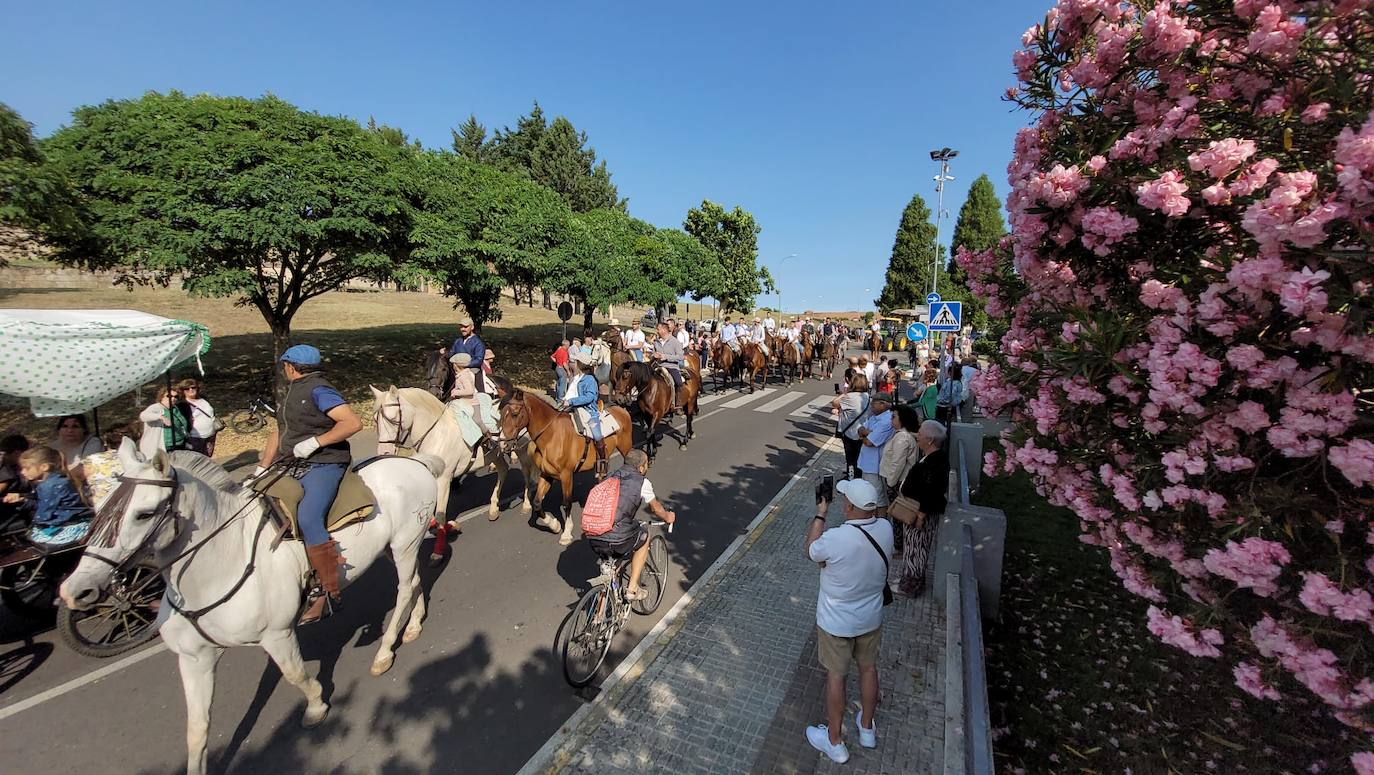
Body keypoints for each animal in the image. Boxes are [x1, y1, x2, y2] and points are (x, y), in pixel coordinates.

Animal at [60, 442, 439, 775]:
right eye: (101, 509)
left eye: (144, 514)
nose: (74, 591)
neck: (220, 562)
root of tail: (415, 462)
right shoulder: (195, 658)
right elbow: (196, 729)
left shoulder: (277, 635)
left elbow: (295, 674)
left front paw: (316, 706)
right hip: (395, 547)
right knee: (415, 581)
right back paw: (414, 625)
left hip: (404, 542)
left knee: (404, 588)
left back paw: (385, 652)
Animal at [373, 384, 538, 524]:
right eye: (375, 419)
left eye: (393, 419)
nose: (384, 451)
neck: (436, 433)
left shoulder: (444, 479)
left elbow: (440, 514)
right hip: (495, 454)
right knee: (503, 470)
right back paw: (493, 508)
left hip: (520, 450)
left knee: (526, 473)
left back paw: (526, 504)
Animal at [500, 387, 637, 544]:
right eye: (501, 414)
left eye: (515, 413)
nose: (502, 444)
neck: (552, 435)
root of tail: (621, 409)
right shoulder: (546, 474)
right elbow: (537, 503)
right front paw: (554, 525)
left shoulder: (566, 475)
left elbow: (567, 503)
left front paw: (566, 533)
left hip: (626, 447)